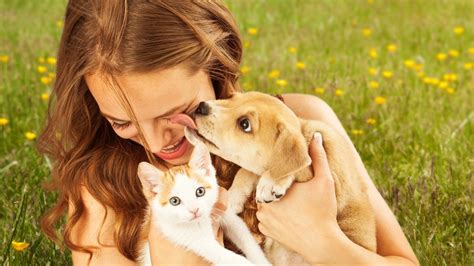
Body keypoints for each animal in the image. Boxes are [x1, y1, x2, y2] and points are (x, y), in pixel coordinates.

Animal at [137, 142, 270, 264]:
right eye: (174, 201)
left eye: (200, 191)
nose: (194, 210)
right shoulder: (192, 239)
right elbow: (228, 257)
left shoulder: (225, 214)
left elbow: (246, 239)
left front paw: (262, 261)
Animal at [183, 91, 376, 264]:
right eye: (231, 97)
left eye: (245, 124)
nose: (201, 106)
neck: (303, 131)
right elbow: (247, 171)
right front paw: (234, 197)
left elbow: (292, 166)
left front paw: (271, 182)